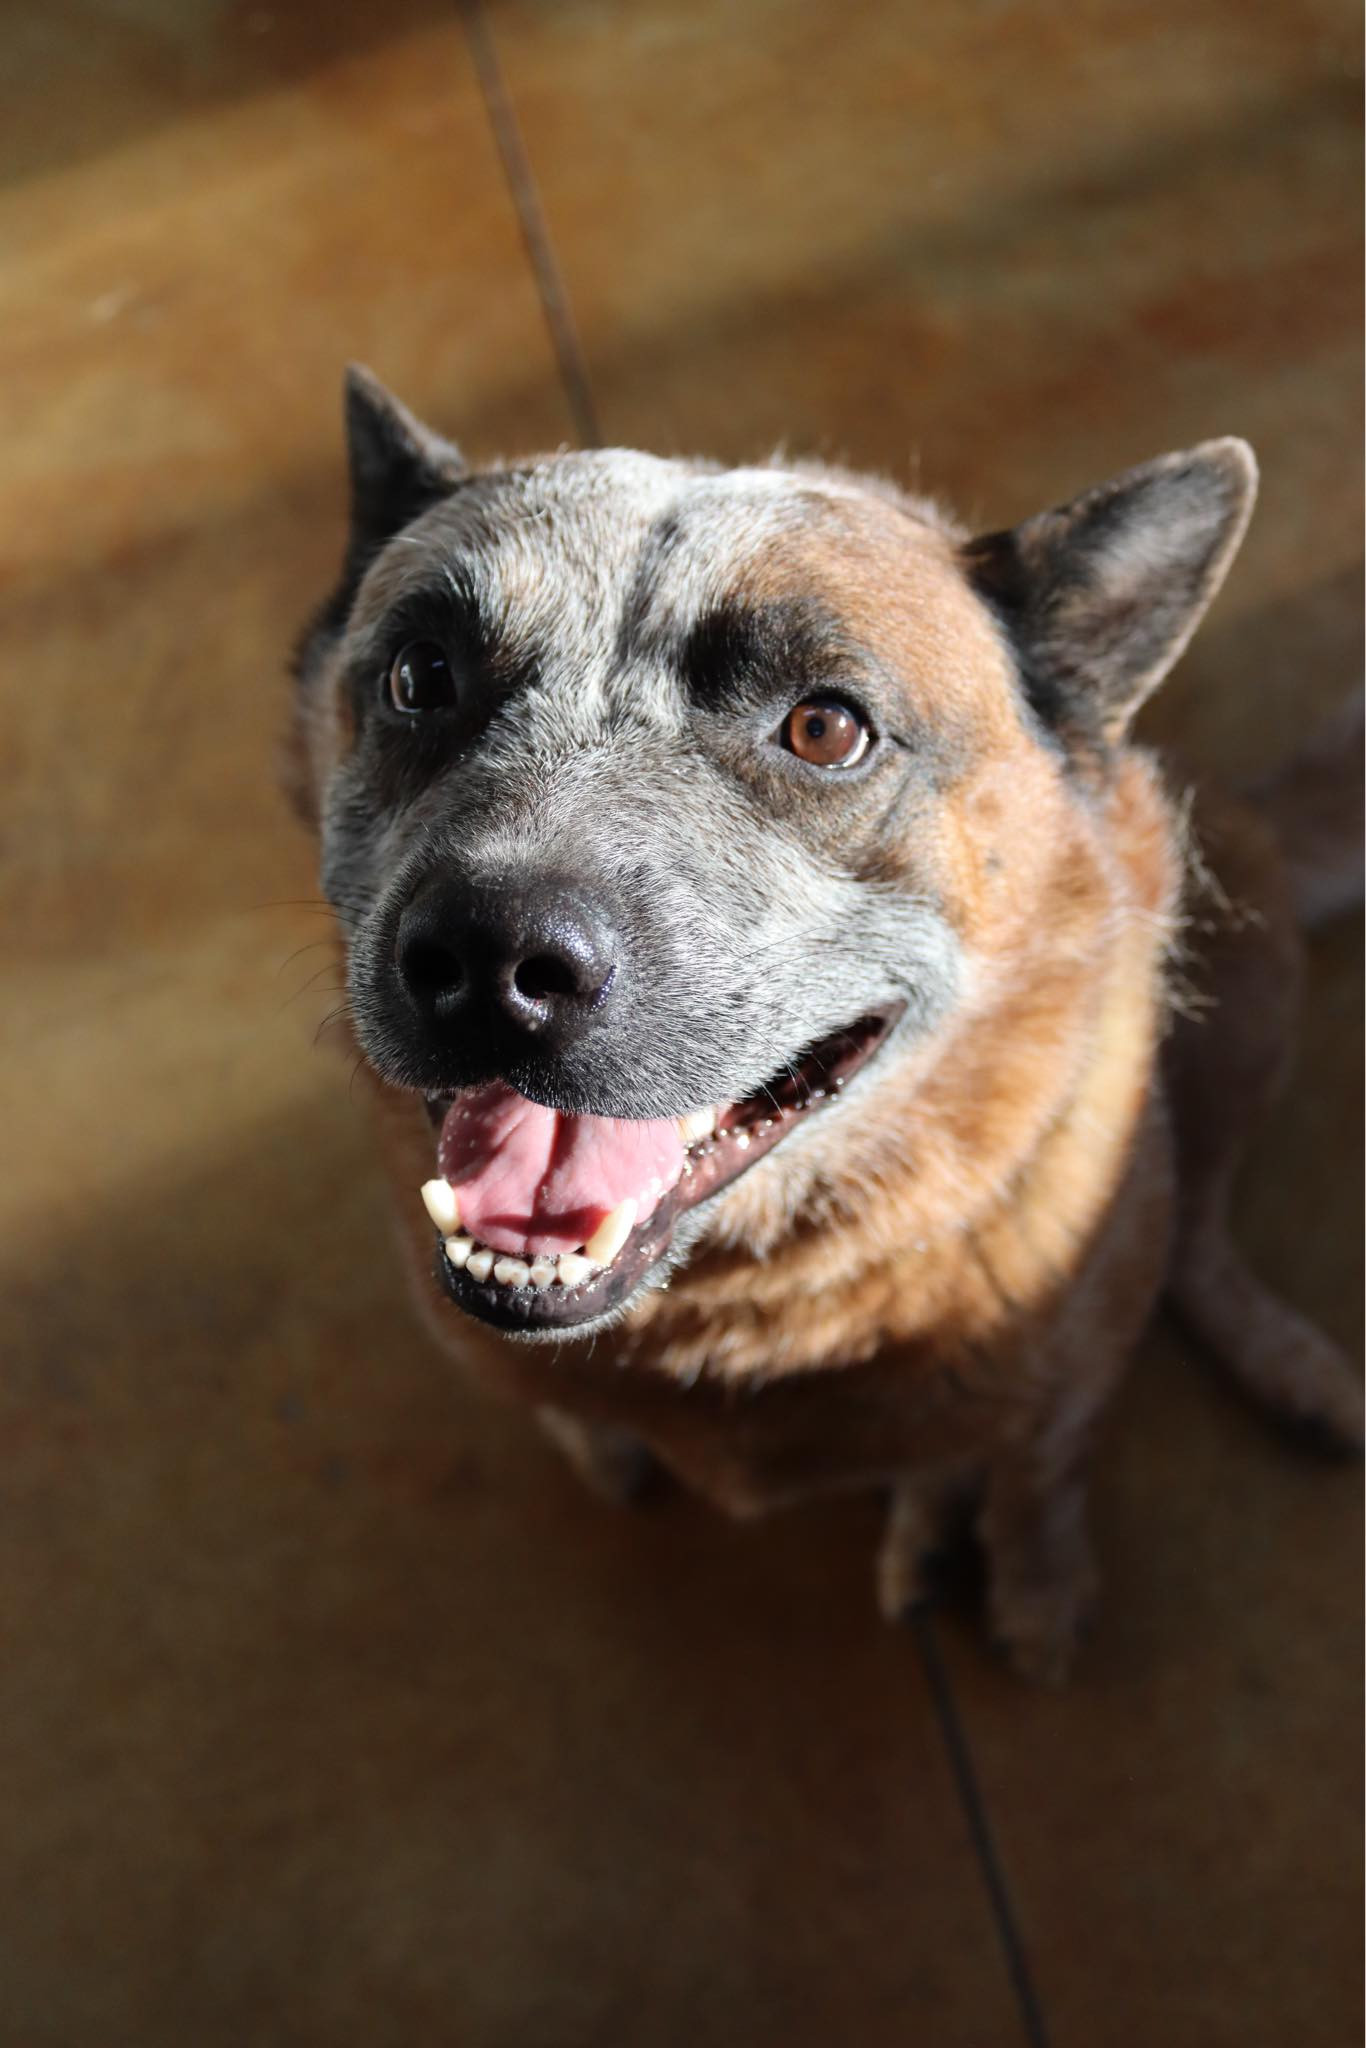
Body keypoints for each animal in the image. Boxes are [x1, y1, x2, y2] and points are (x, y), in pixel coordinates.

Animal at [282, 368, 1359, 1679]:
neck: (746, 1303)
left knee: (1196, 1223)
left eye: (825, 726)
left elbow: (1038, 1461)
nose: (490, 961)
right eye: (421, 675)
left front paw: (1032, 1582)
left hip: (1243, 1009)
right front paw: (603, 1438)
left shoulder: (1071, 1342)